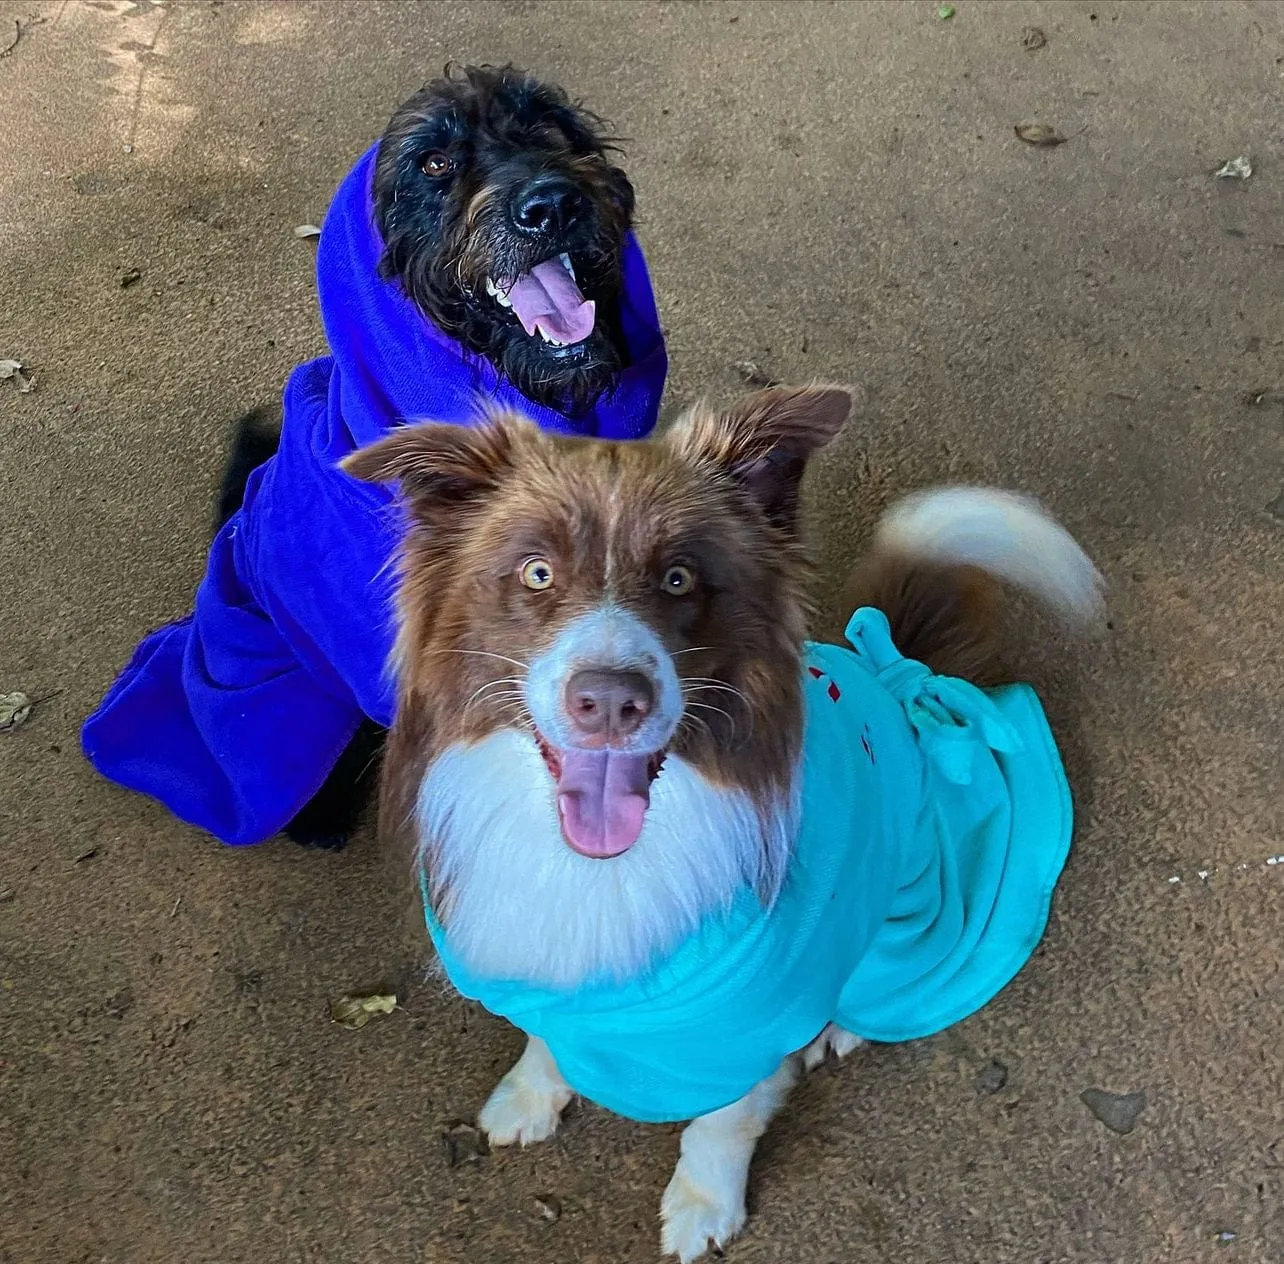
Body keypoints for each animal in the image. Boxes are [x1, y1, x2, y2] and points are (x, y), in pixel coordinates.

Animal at [344, 387, 1104, 1264]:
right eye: (537, 572)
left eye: (680, 578)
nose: (611, 700)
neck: (604, 867)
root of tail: (902, 679)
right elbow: (544, 1043)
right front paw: (529, 1100)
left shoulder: (753, 1018)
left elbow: (721, 1122)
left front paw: (704, 1207)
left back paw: (834, 1031)